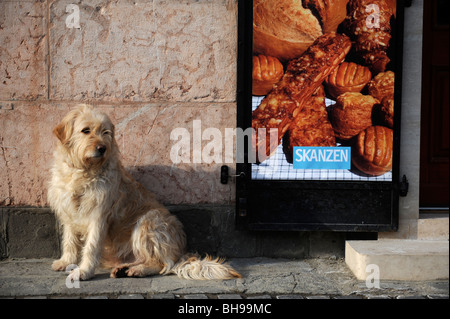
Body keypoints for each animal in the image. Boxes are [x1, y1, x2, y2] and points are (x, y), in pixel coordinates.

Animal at [47, 105, 241, 282]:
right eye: (85, 130)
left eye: (105, 132)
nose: (102, 148)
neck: (83, 171)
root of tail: (179, 253)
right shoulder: (69, 211)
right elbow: (70, 241)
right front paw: (66, 262)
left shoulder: (98, 215)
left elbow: (91, 246)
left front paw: (83, 271)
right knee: (144, 259)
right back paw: (124, 269)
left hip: (148, 221)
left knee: (162, 264)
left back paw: (137, 270)